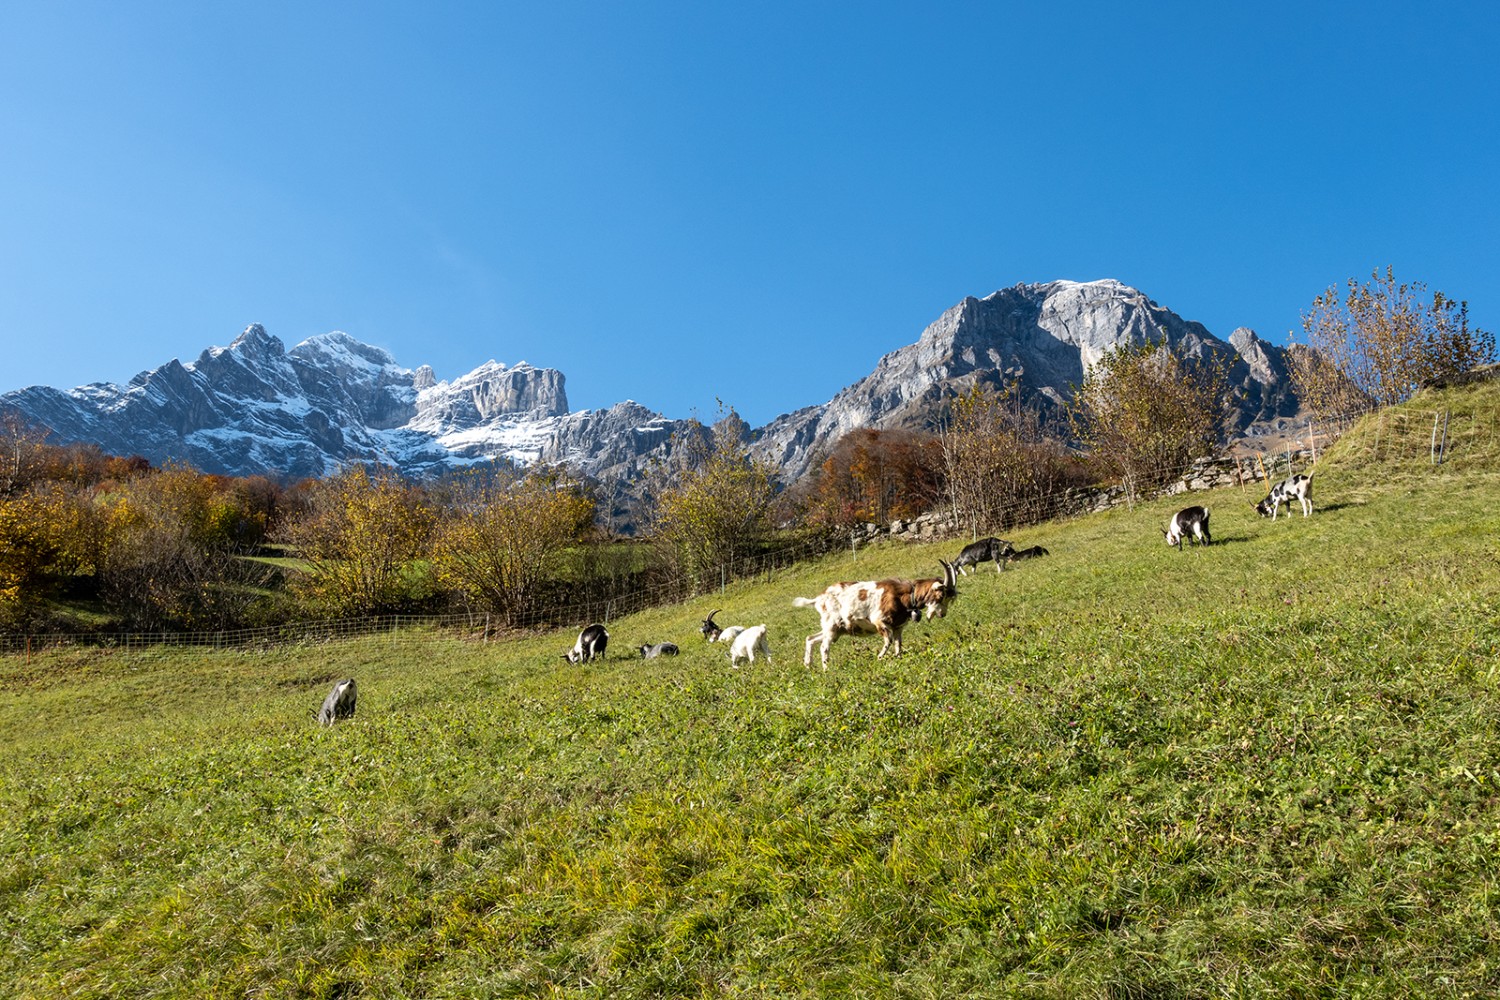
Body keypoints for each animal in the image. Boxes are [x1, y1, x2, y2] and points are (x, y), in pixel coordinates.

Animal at [792, 560, 954, 668]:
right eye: (941, 596)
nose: (943, 614)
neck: (902, 596)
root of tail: (819, 599)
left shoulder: (898, 627)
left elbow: (898, 644)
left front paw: (898, 659)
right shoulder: (879, 621)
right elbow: (888, 640)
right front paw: (880, 657)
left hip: (835, 629)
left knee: (810, 639)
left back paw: (809, 666)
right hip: (832, 626)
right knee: (824, 646)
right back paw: (827, 670)